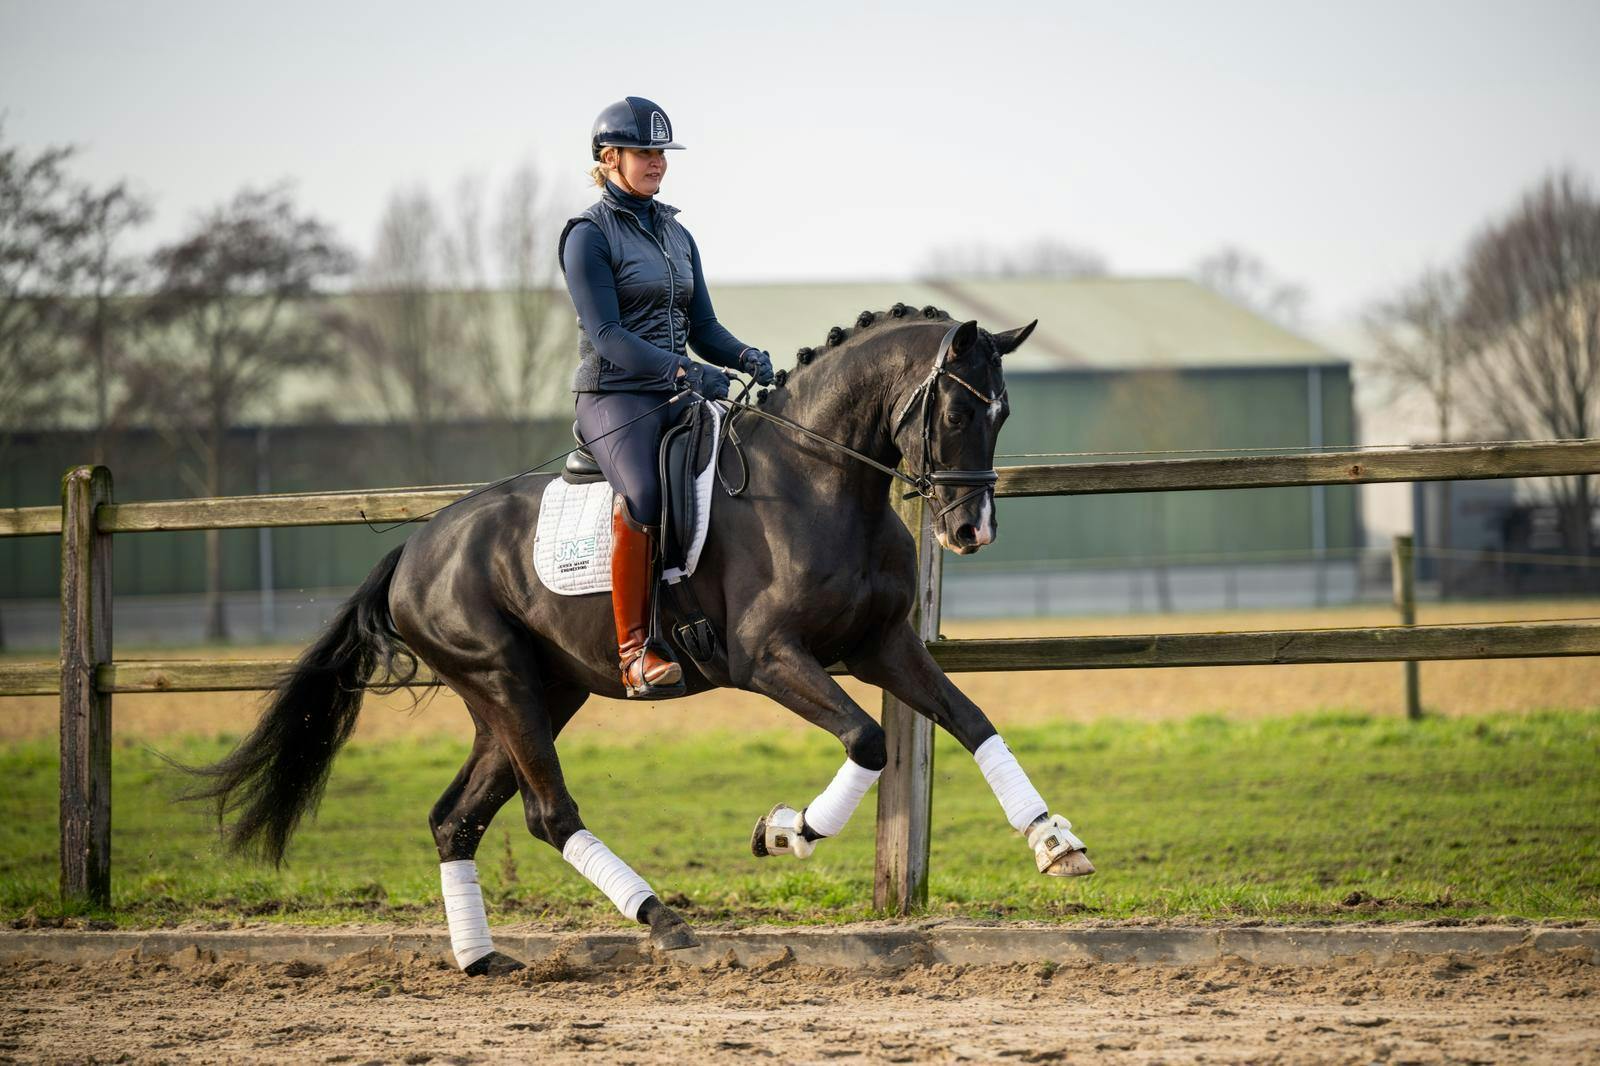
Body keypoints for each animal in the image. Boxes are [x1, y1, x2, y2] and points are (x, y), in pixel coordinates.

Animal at [186, 303, 1093, 976]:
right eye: (956, 409)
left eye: (1003, 413)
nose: (971, 531)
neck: (823, 481)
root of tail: (414, 550)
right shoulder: (768, 658)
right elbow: (869, 738)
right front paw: (784, 832)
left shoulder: (882, 645)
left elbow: (973, 722)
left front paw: (1055, 843)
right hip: (504, 682)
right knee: (548, 813)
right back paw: (661, 919)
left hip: (534, 695)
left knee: (458, 820)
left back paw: (482, 959)